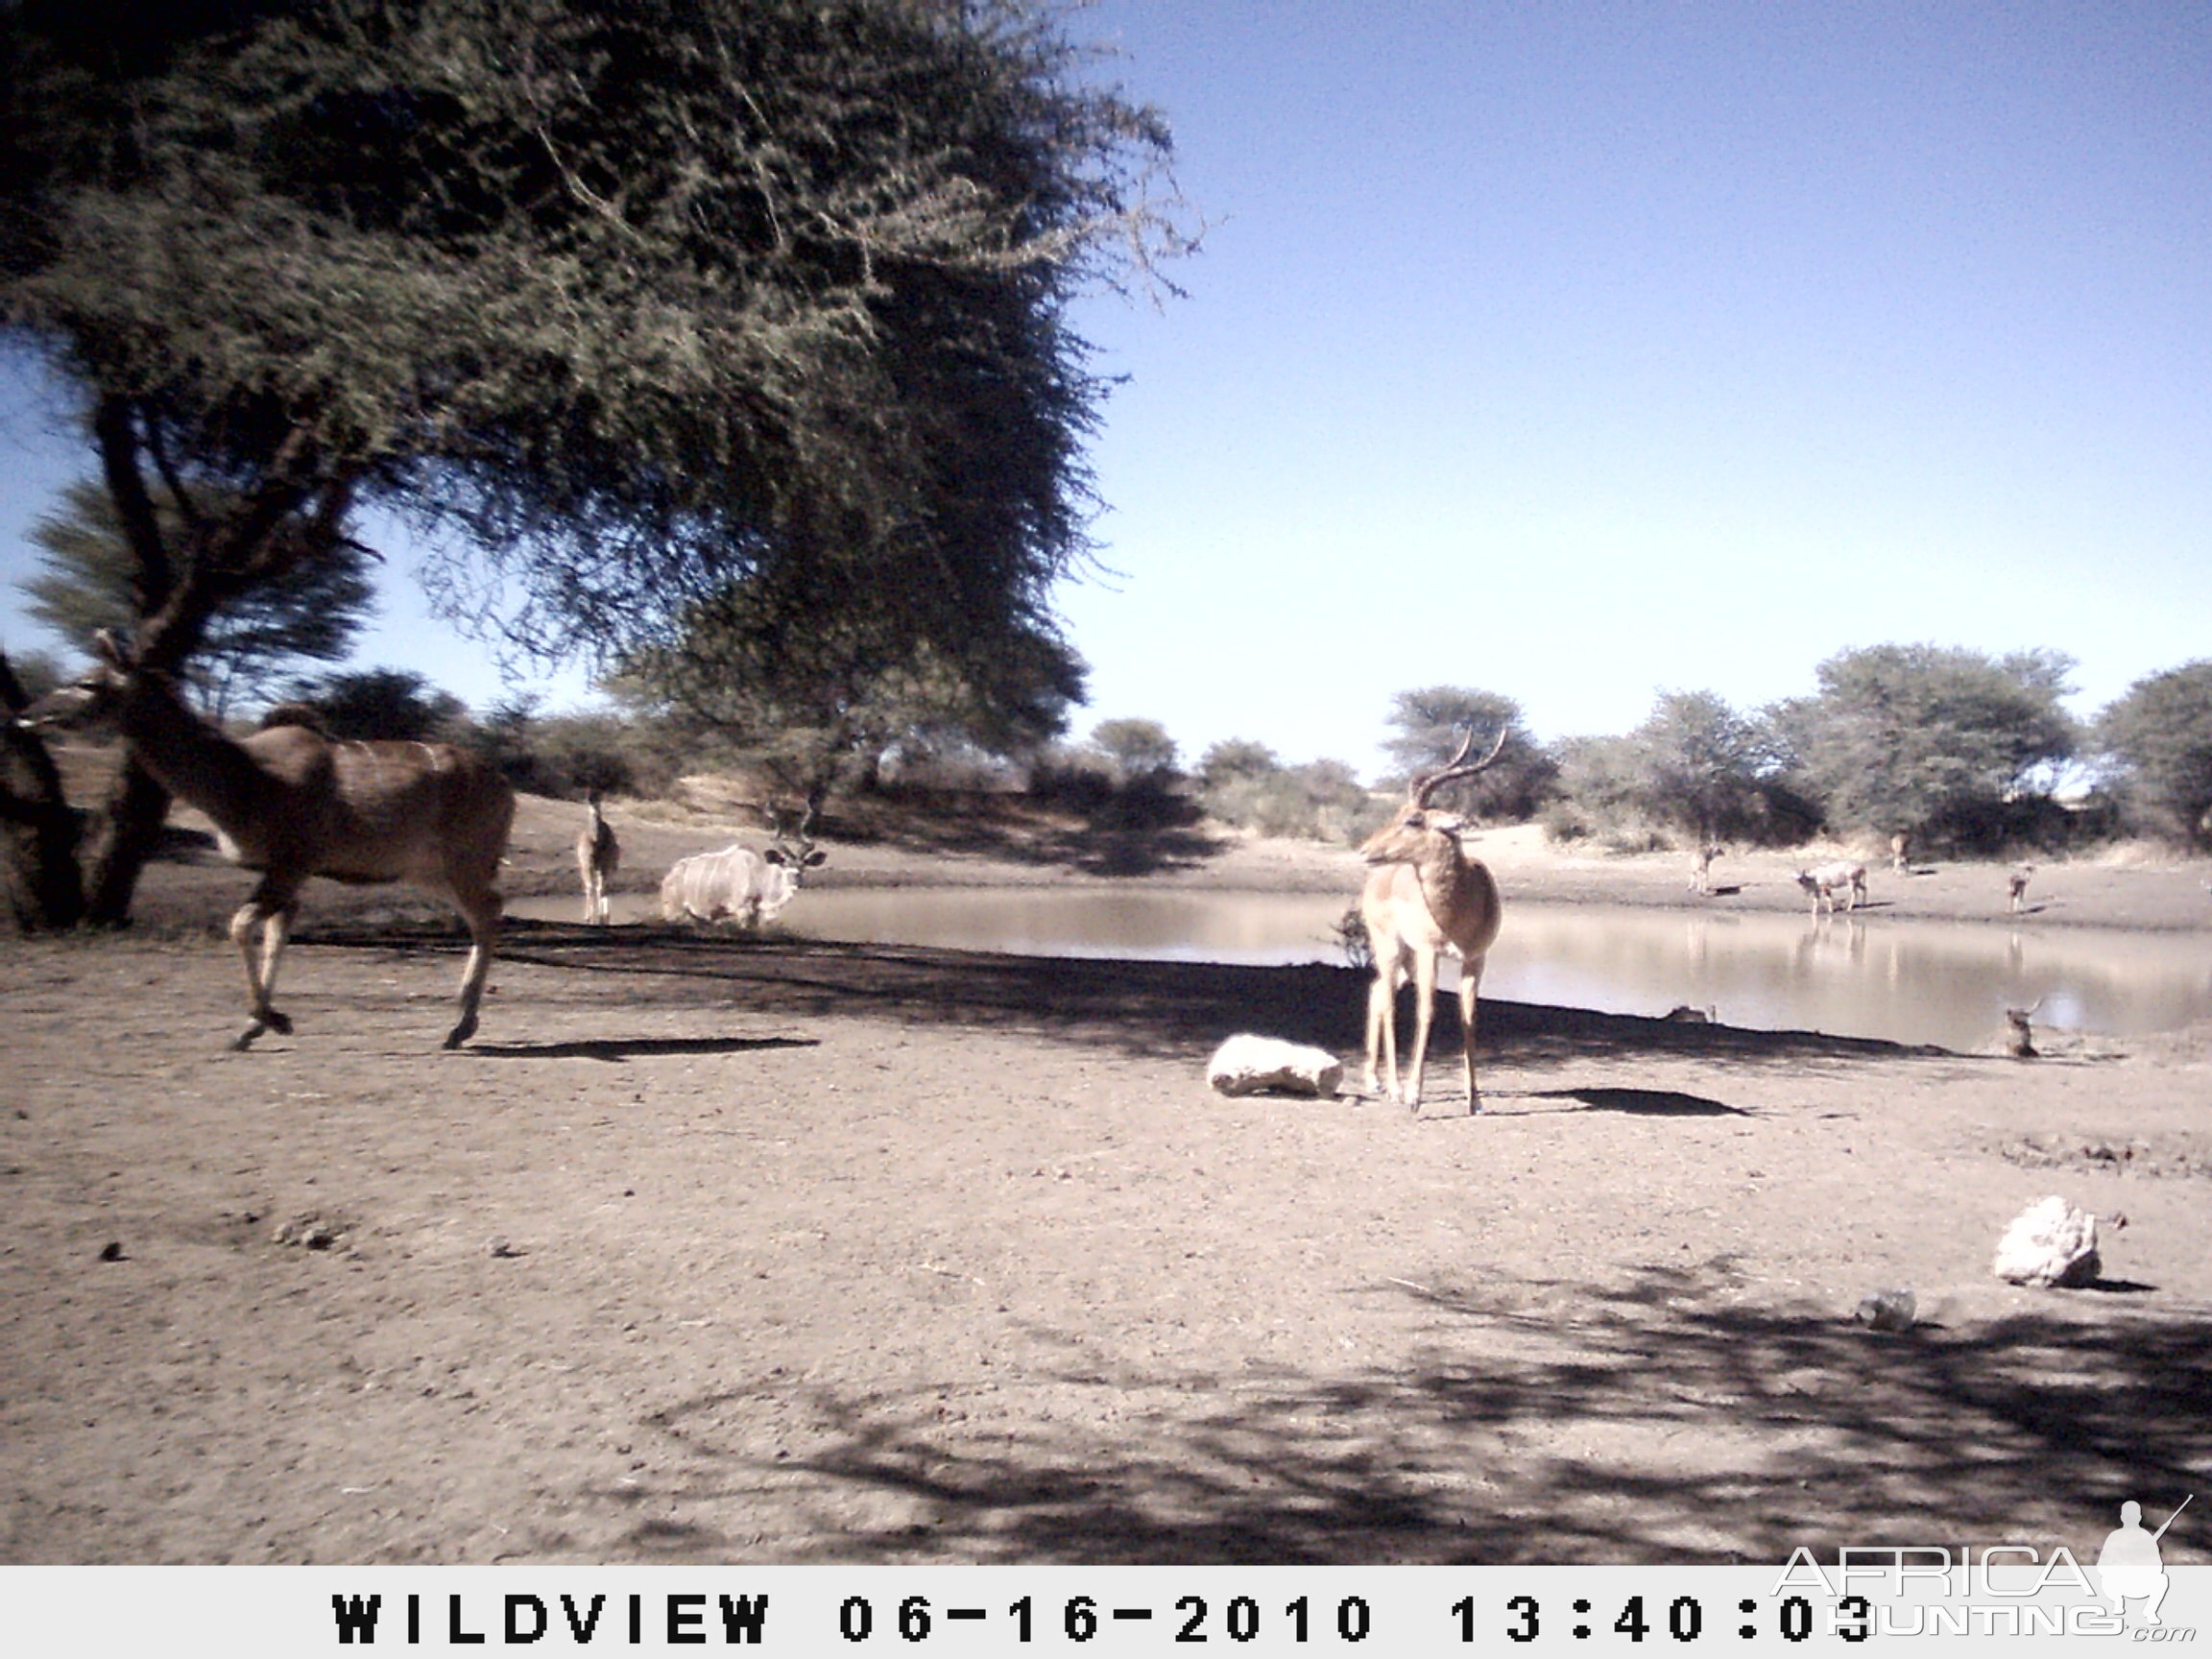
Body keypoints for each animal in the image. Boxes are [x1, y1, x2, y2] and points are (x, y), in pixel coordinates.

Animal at [21, 637, 513, 1052]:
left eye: (87, 683)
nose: (29, 713)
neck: (244, 777)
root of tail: (503, 785)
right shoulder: (284, 873)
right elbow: (277, 931)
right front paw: (253, 1026)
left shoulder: (291, 864)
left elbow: (241, 925)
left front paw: (271, 1019)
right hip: (429, 871)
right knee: (483, 915)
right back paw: (460, 1022)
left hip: (462, 863)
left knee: (488, 911)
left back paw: (461, 1025)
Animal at [1354, 725, 1512, 1118]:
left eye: (1413, 819)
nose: (1365, 850)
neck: (1458, 907)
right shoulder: (1430, 953)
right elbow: (1427, 1011)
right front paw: (1415, 1096)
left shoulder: (1475, 959)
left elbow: (1468, 1017)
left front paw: (1475, 1099)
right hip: (1391, 948)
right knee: (1387, 1001)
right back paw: (1393, 1089)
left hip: (1406, 959)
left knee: (1378, 992)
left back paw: (1375, 1082)